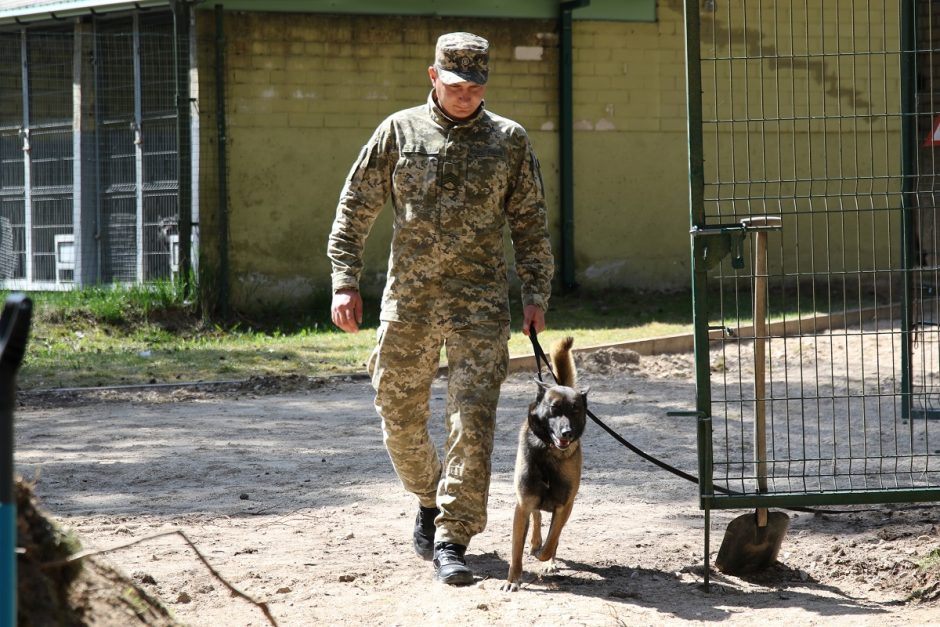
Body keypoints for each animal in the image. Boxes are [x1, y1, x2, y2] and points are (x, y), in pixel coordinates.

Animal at [500, 336, 588, 592]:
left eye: (575, 410)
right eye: (554, 408)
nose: (567, 433)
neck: (549, 454)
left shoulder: (564, 506)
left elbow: (552, 541)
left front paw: (545, 558)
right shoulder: (522, 505)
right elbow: (516, 550)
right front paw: (513, 580)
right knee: (537, 517)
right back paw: (534, 542)